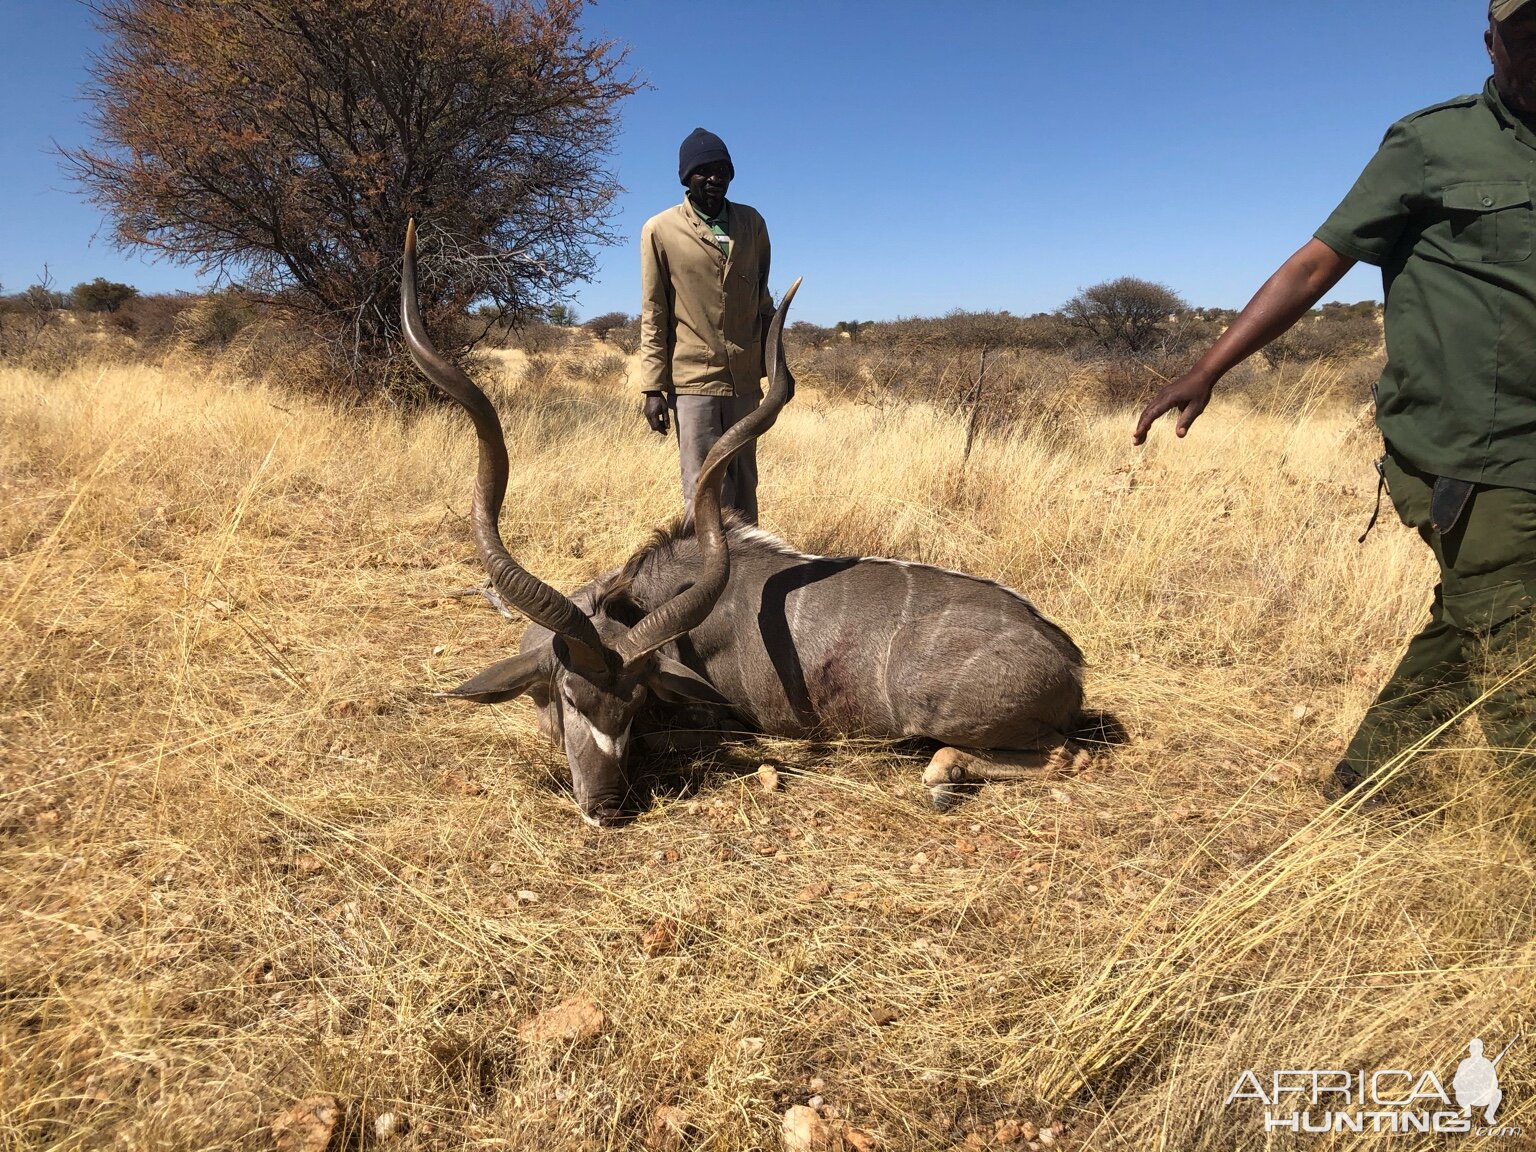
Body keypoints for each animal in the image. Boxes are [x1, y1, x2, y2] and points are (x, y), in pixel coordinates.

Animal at [402, 221, 1087, 823]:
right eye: (572, 695)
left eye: (637, 702)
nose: (606, 807)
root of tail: (1067, 658)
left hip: (946, 719)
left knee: (1061, 757)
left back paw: (944, 776)